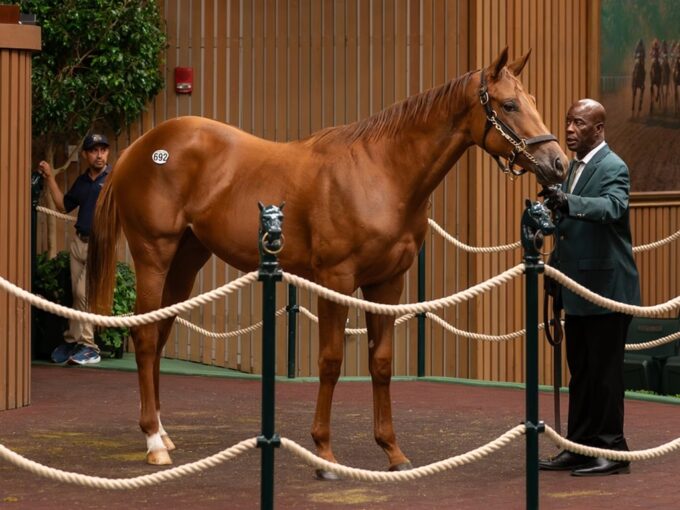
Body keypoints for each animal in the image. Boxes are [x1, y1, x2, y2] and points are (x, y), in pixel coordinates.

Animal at [87, 47, 564, 474]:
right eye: (509, 104)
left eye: (533, 102)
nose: (557, 163)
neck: (382, 173)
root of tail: (141, 148)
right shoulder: (336, 280)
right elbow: (331, 362)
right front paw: (324, 453)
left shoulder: (388, 284)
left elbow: (381, 363)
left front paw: (393, 452)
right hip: (154, 254)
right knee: (145, 335)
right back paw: (153, 441)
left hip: (187, 259)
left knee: (161, 332)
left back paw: (163, 432)